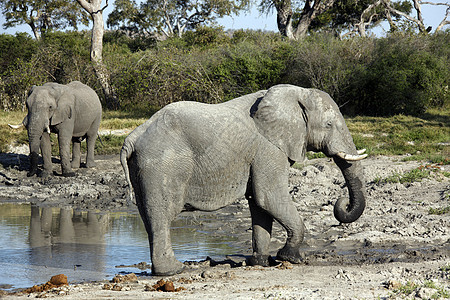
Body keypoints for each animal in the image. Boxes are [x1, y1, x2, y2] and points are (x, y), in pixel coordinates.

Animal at [121, 83, 368, 276]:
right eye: (329, 125)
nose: (342, 203)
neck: (296, 94)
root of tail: (133, 137)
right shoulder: (268, 148)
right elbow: (269, 196)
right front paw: (290, 258)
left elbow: (259, 203)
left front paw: (259, 262)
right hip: (162, 166)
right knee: (161, 215)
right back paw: (173, 271)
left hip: (145, 167)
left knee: (149, 217)